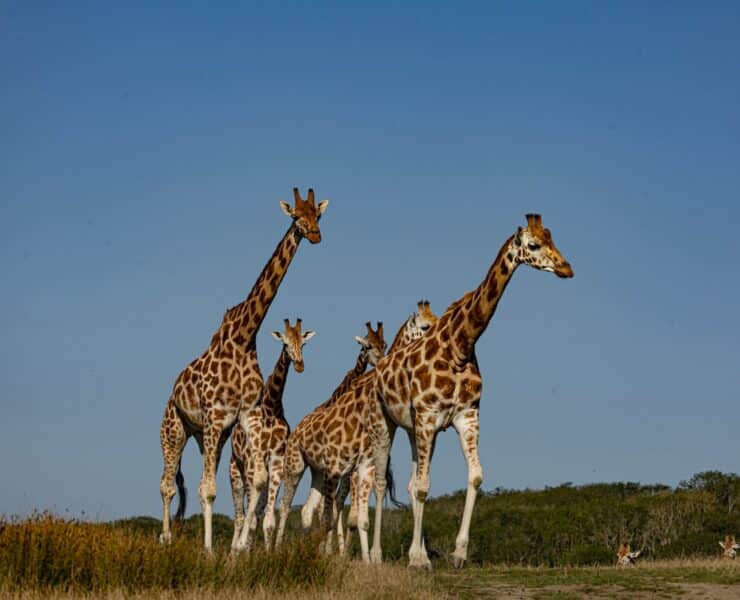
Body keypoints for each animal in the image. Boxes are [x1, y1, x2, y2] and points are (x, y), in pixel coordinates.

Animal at [229, 318, 315, 552]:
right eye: (285, 343)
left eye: (303, 344)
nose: (300, 365)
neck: (270, 408)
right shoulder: (253, 458)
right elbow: (250, 516)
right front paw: (243, 547)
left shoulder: (277, 460)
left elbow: (268, 520)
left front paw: (267, 555)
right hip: (236, 470)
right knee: (240, 516)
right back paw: (234, 551)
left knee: (255, 512)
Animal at [275, 301, 438, 563]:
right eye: (424, 326)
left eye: (384, 344)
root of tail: (297, 429)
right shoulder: (339, 470)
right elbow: (333, 516)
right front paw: (335, 556)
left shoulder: (360, 468)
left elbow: (356, 518)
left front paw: (364, 559)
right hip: (295, 467)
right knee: (286, 505)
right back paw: (277, 549)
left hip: (318, 472)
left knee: (309, 510)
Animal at [373, 214, 573, 568]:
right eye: (534, 244)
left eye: (552, 238)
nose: (566, 268)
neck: (460, 346)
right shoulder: (427, 416)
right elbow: (423, 487)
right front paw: (419, 561)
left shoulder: (465, 415)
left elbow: (474, 476)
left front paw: (456, 553)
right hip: (388, 423)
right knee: (382, 482)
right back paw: (377, 556)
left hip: (414, 430)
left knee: (410, 482)